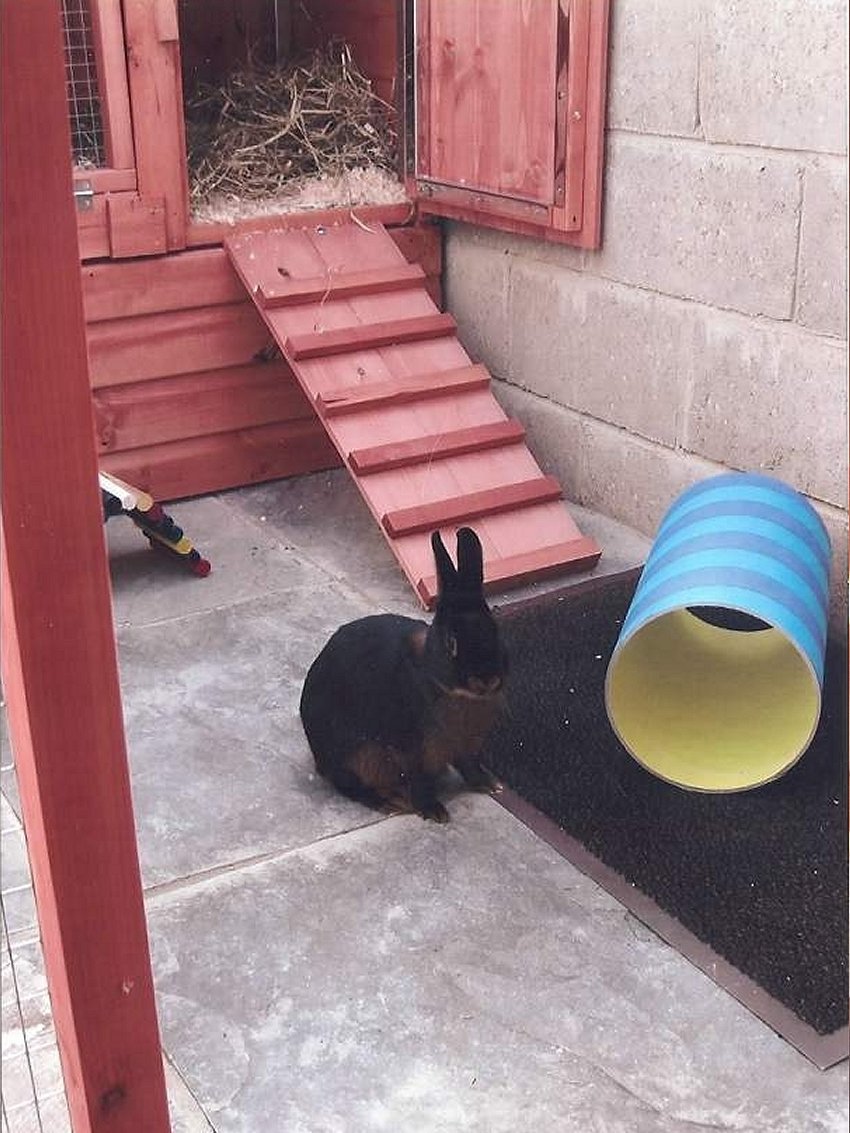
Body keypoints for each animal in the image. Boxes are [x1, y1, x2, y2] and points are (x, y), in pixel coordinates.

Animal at [303, 521, 510, 824]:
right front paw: (435, 812)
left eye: (496, 631)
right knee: (348, 784)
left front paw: (490, 785)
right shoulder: (411, 751)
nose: (486, 679)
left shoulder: (466, 746)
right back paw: (390, 802)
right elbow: (419, 780)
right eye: (451, 643)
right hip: (354, 755)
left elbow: (469, 766)